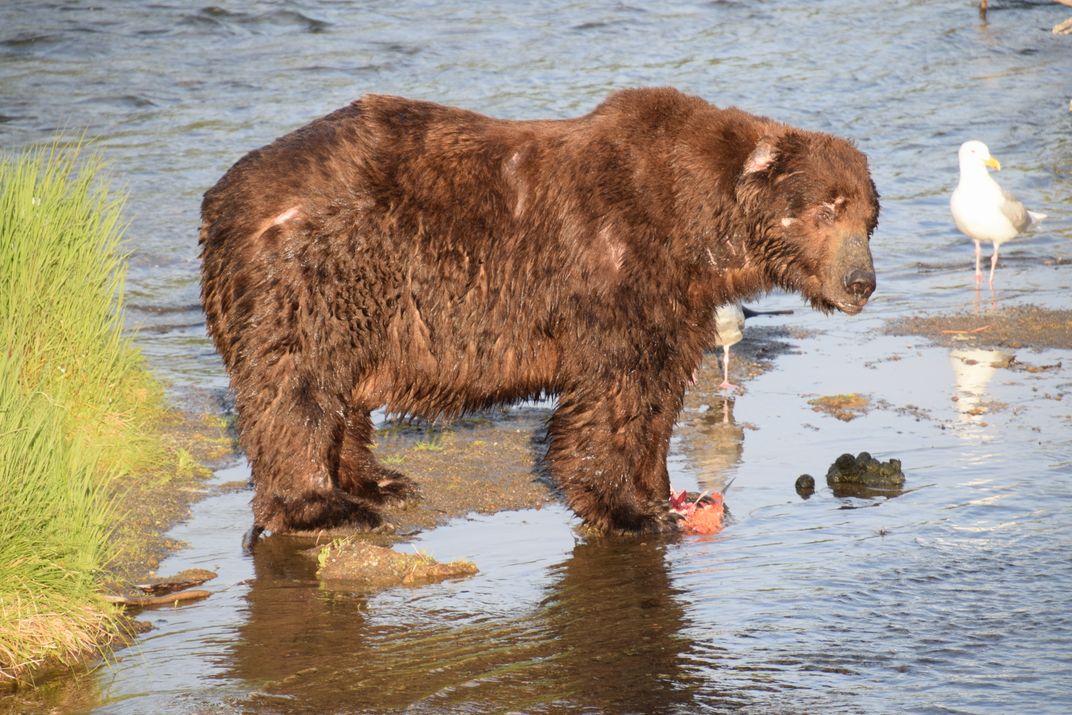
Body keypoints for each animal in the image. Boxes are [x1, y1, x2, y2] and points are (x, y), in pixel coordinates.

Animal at [201, 86, 879, 535]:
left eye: (867, 217)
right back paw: (324, 505)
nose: (861, 282)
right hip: (314, 273)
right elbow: (616, 387)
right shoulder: (619, 265)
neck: (701, 227)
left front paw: (659, 489)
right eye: (826, 208)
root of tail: (222, 198)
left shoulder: (680, 299)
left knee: (338, 388)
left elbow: (659, 390)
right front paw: (628, 508)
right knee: (298, 384)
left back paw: (381, 481)